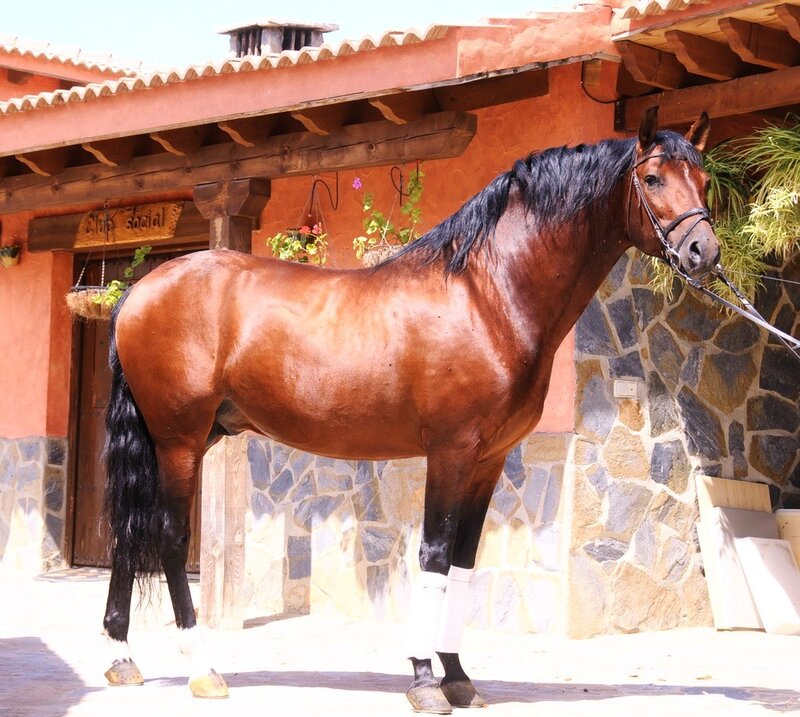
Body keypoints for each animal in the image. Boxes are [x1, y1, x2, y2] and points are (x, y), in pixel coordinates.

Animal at [100, 106, 720, 714]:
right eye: (652, 178)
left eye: (704, 179)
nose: (704, 252)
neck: (486, 295)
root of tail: (137, 292)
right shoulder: (451, 450)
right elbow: (435, 554)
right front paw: (424, 678)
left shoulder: (489, 458)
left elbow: (464, 561)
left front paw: (458, 676)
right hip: (179, 439)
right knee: (169, 536)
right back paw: (201, 667)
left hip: (184, 437)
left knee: (130, 529)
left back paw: (122, 657)